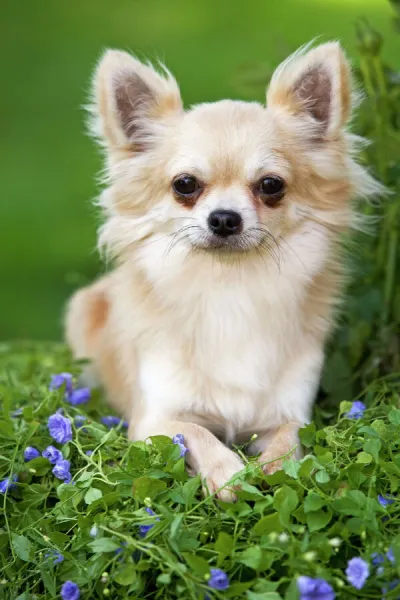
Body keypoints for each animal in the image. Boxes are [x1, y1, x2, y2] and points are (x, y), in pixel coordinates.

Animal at [65, 41, 382, 502]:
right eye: (184, 185)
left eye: (271, 186)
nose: (224, 218)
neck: (230, 286)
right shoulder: (155, 419)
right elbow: (196, 431)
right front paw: (229, 473)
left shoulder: (289, 412)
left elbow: (289, 438)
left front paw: (276, 468)